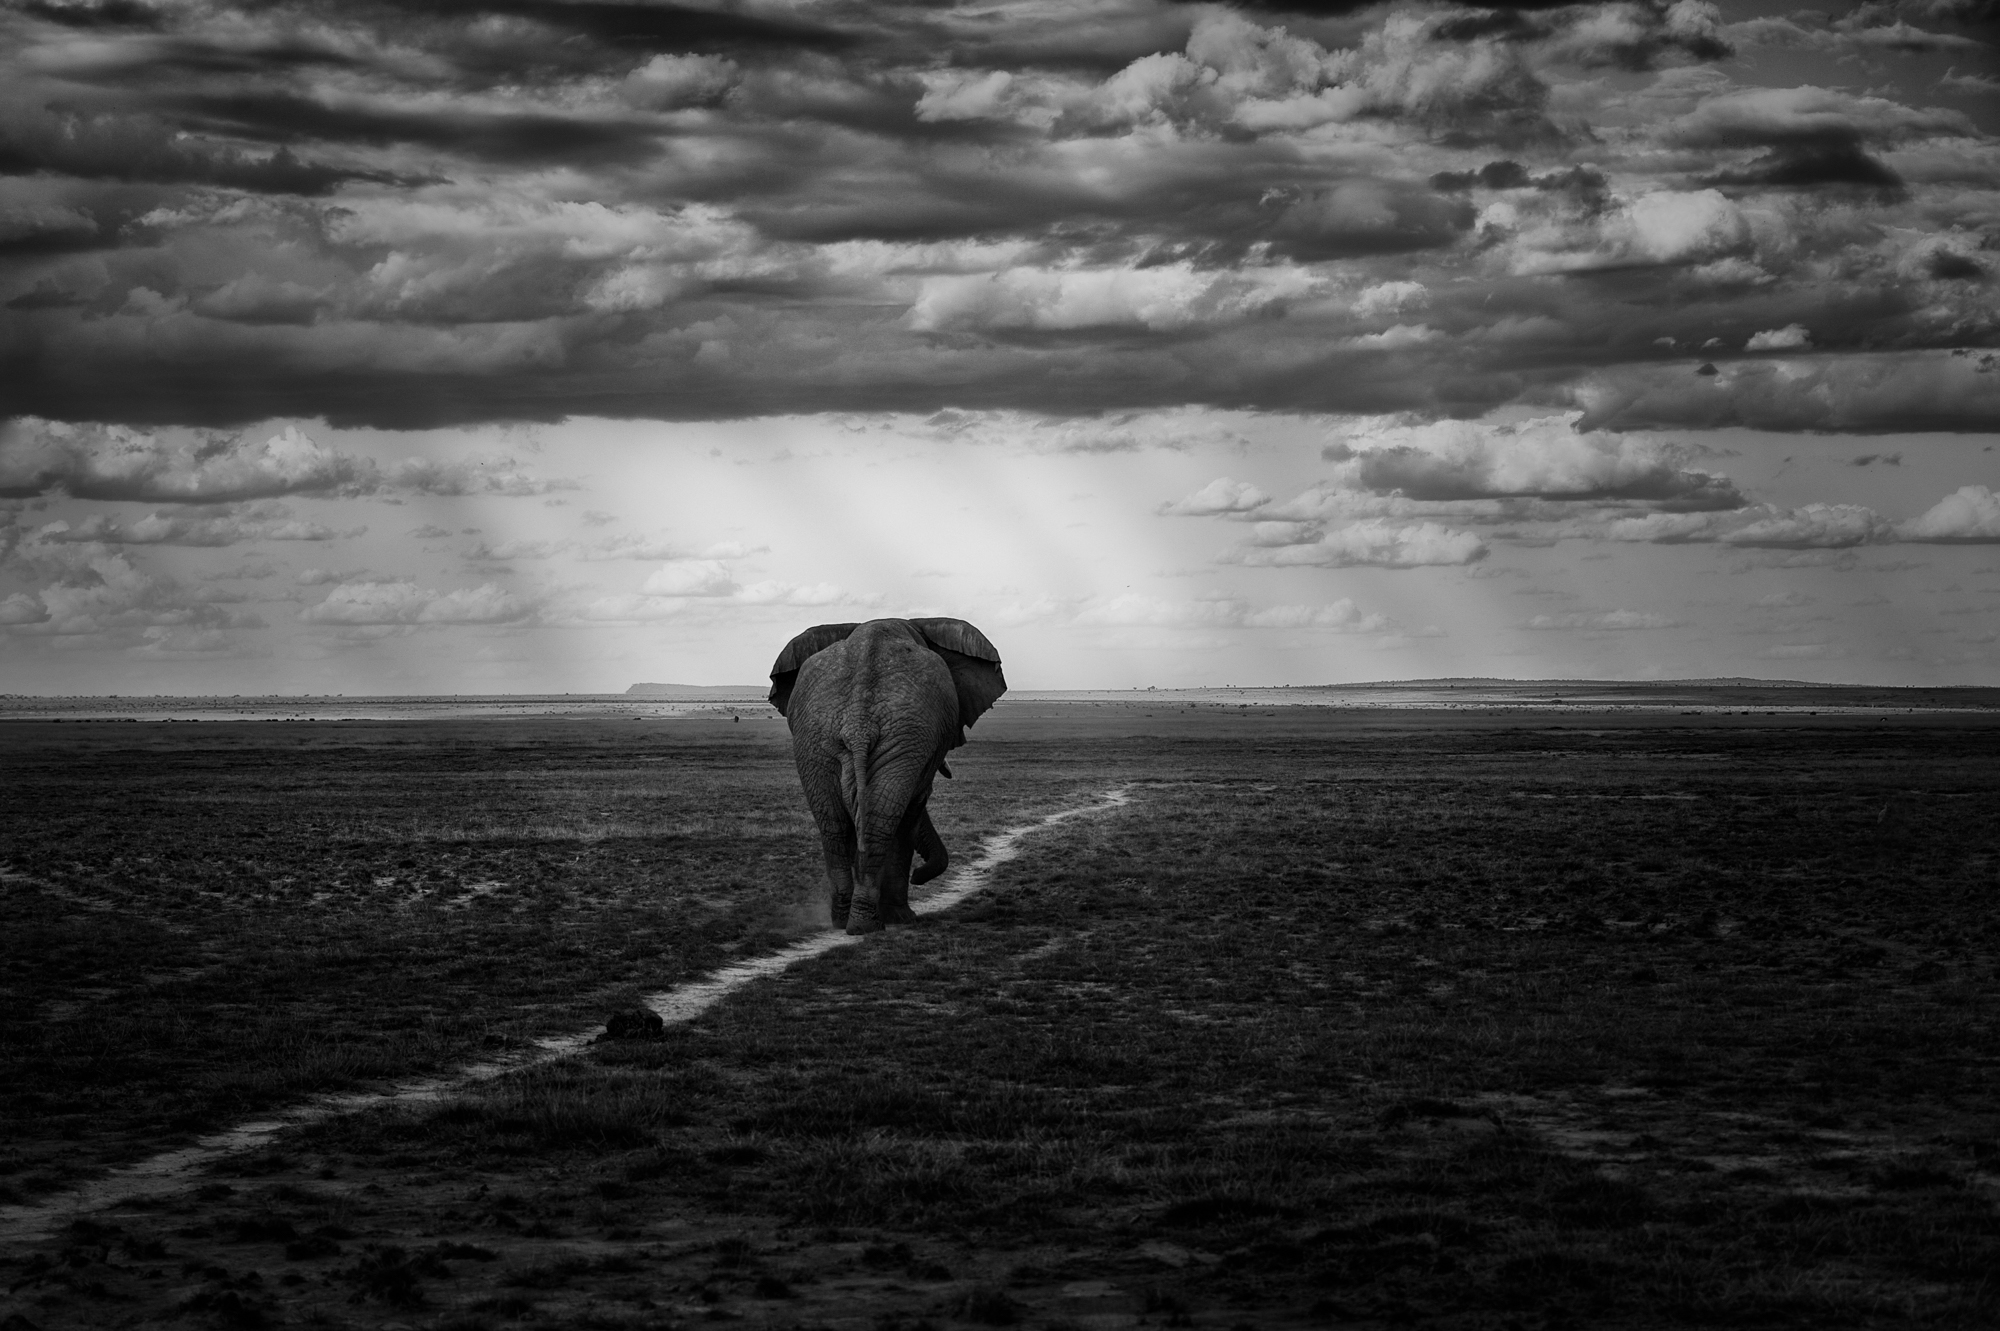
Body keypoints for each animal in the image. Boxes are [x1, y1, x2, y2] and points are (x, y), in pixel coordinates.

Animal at [768, 618, 1007, 935]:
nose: (919, 875)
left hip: (819, 739)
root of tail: (858, 723)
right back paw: (869, 924)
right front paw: (902, 917)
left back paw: (845, 922)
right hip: (882, 734)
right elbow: (913, 808)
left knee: (836, 825)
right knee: (884, 820)